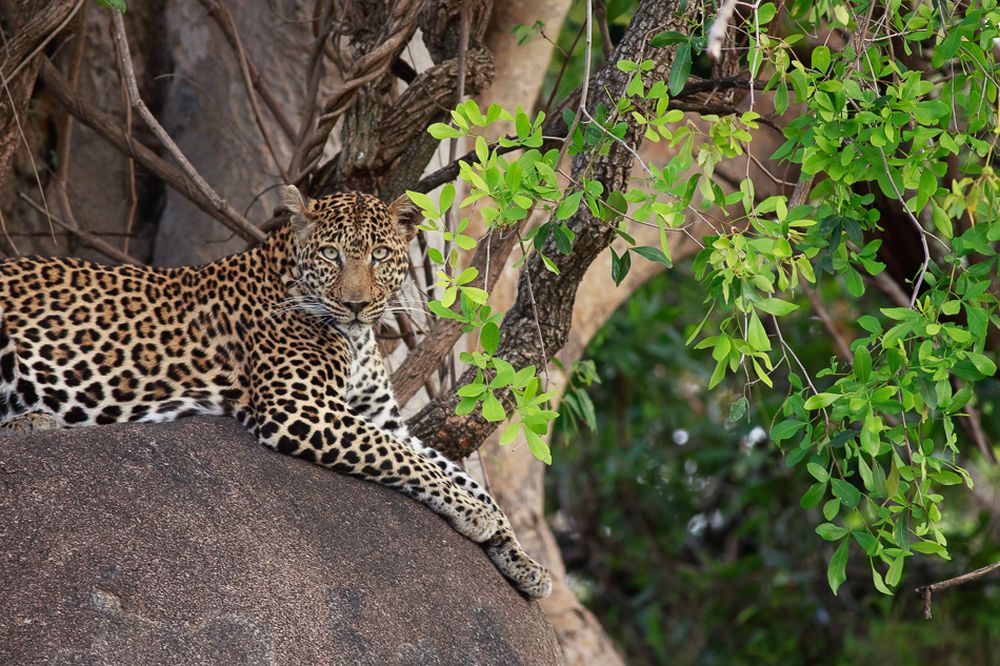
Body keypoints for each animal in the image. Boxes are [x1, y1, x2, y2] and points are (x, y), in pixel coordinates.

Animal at [0, 185, 552, 596]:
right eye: (331, 253)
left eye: (379, 255)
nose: (356, 304)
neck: (353, 336)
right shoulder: (302, 409)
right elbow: (405, 460)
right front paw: (474, 516)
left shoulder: (382, 417)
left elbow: (454, 470)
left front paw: (523, 560)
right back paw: (34, 420)